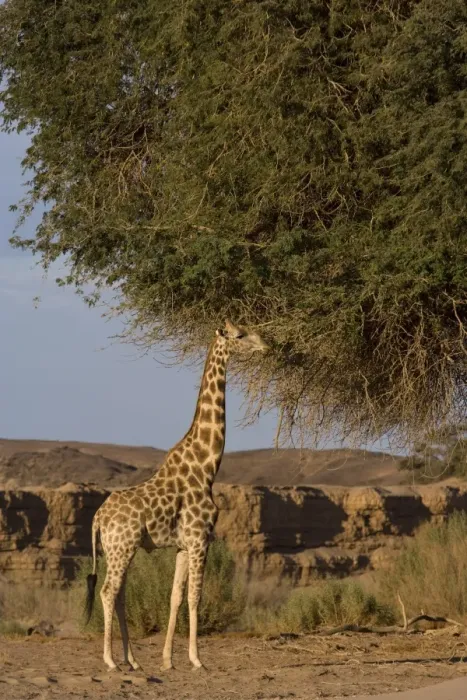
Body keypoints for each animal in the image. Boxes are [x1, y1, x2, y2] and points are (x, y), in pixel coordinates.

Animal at [85, 320, 269, 673]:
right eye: (240, 335)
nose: (265, 346)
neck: (207, 465)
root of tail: (98, 517)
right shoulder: (200, 540)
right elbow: (196, 597)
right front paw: (197, 659)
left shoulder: (184, 546)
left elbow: (175, 597)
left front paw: (168, 660)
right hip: (122, 548)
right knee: (108, 591)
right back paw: (111, 661)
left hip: (118, 550)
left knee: (120, 593)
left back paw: (133, 660)